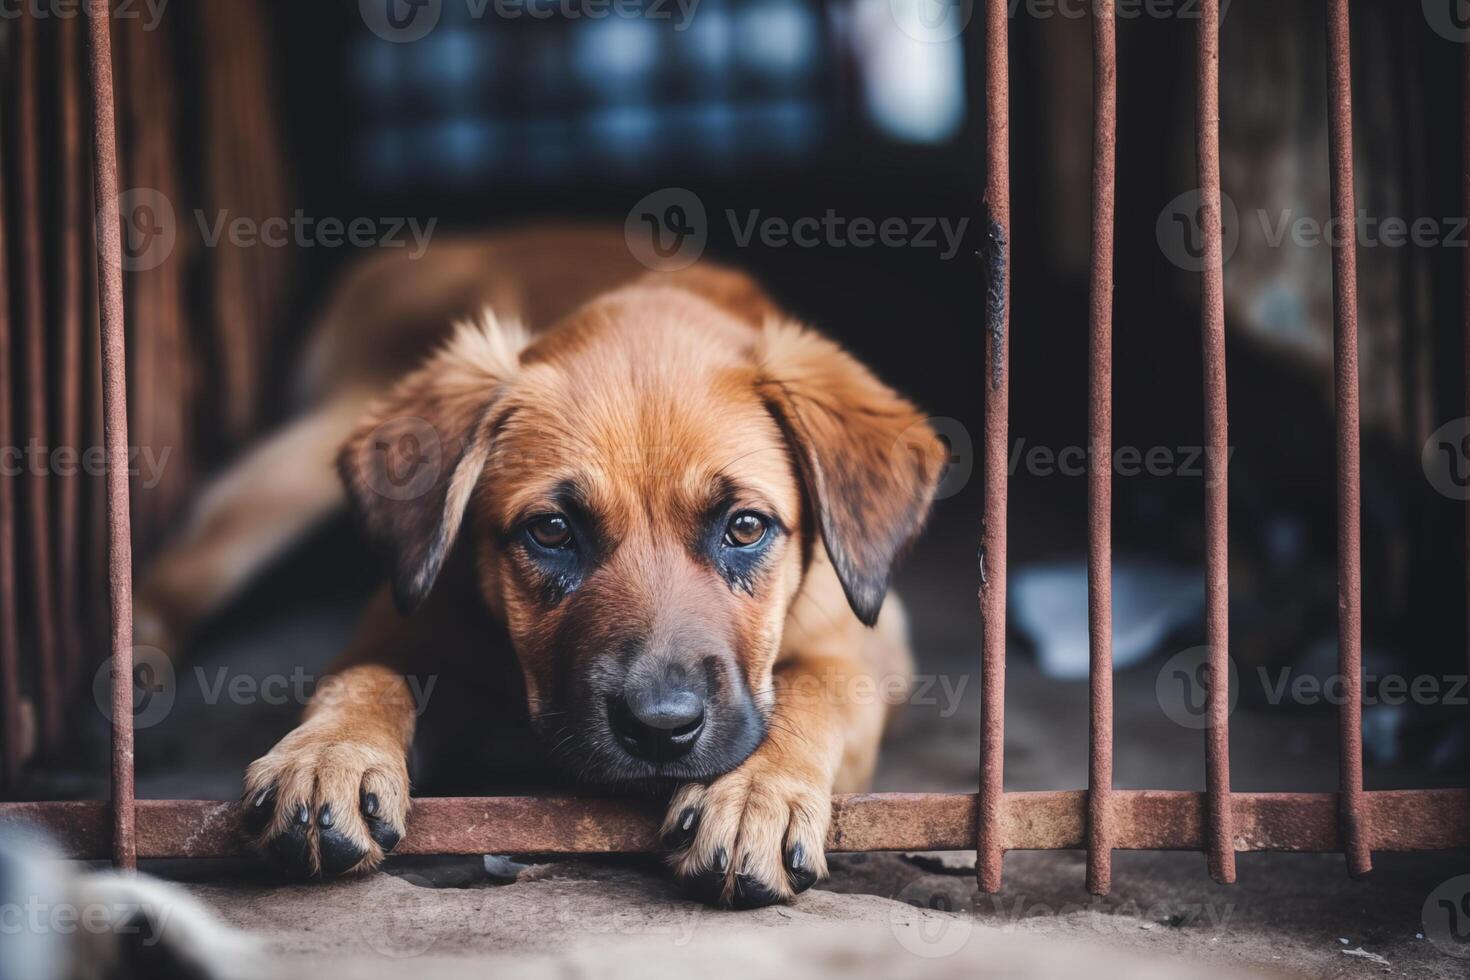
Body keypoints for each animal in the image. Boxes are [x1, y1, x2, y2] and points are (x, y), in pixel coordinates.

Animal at [135, 224, 940, 910]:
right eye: (551, 531)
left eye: (745, 527)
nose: (660, 730)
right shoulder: (405, 608)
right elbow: (369, 673)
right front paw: (327, 753)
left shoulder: (868, 634)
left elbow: (818, 688)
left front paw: (755, 793)